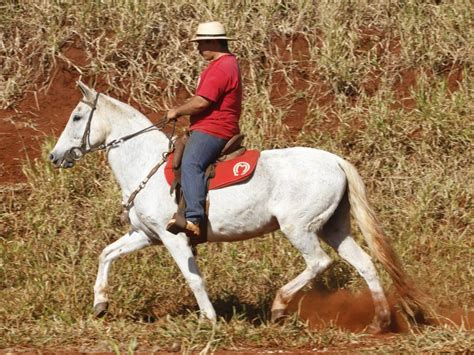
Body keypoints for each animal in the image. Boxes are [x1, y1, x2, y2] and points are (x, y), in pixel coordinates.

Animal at [50, 81, 428, 334]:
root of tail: (334, 160)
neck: (147, 163)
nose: (55, 156)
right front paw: (100, 304)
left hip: (299, 228)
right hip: (333, 227)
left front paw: (209, 319)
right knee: (365, 264)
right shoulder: (146, 235)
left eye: (77, 117)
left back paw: (279, 306)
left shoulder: (173, 238)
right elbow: (106, 254)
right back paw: (380, 321)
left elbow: (193, 278)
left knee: (319, 262)